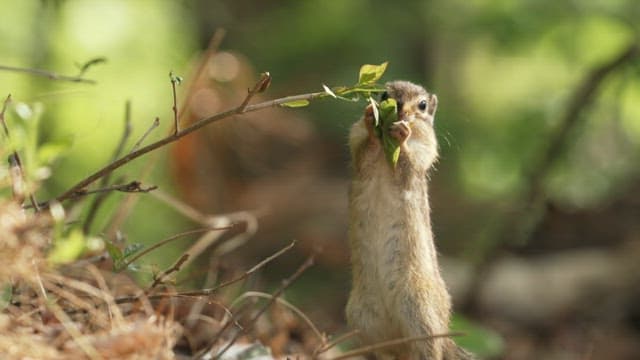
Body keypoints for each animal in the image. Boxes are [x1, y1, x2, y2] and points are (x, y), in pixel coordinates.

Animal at [344, 81, 476, 360]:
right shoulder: (357, 142)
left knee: (429, 350)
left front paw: (401, 134)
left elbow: (407, 164)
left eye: (423, 105)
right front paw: (372, 119)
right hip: (361, 319)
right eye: (384, 94)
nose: (400, 108)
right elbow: (363, 152)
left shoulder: (424, 150)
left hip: (419, 313)